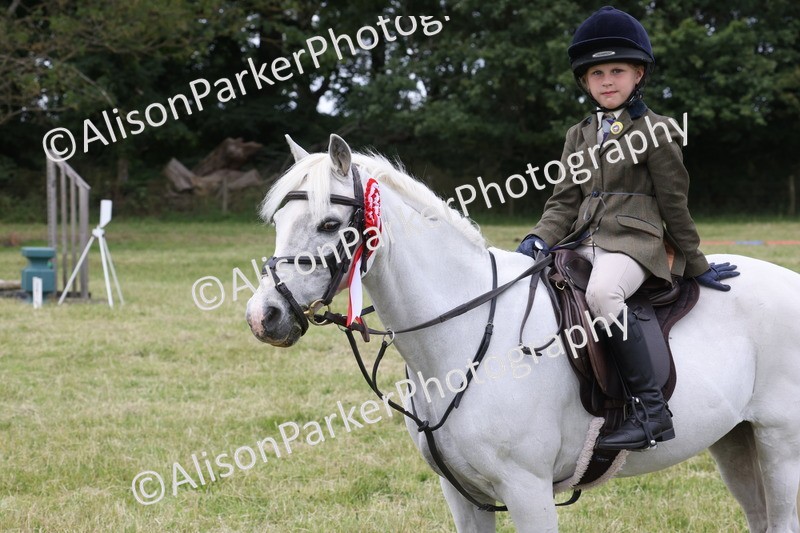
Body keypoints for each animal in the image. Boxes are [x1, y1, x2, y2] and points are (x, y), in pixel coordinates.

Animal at [246, 134, 800, 532]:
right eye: (278, 221)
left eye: (328, 224)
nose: (263, 315)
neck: (462, 335)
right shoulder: (463, 496)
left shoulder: (528, 492)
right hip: (734, 440)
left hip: (779, 442)